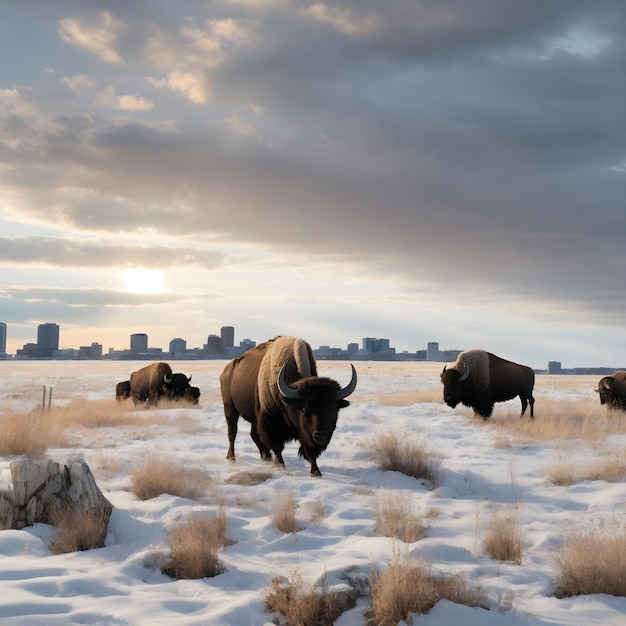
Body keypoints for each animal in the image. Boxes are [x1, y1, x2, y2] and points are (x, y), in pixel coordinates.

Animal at [219, 334, 356, 476]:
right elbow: (277, 446)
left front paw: (316, 472)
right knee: (232, 433)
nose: (321, 436)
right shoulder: (270, 422)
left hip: (252, 418)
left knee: (254, 435)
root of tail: (226, 371)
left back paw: (266, 458)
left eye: (334, 408)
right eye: (305, 409)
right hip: (230, 408)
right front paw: (280, 466)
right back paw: (232, 458)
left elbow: (310, 451)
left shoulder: (305, 433)